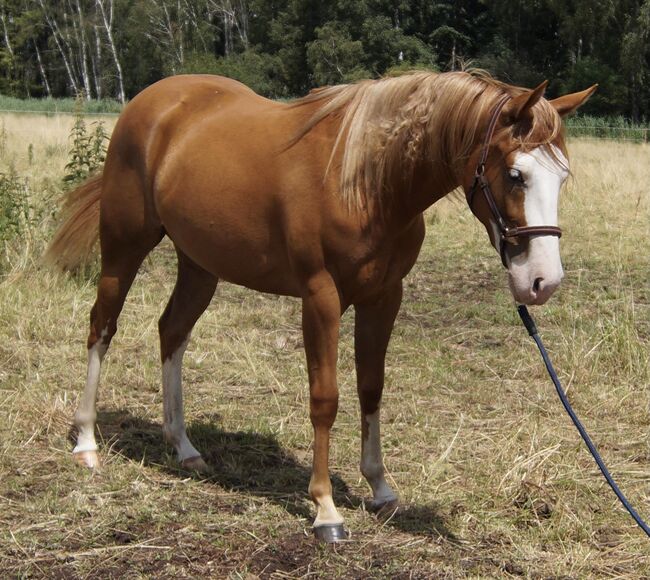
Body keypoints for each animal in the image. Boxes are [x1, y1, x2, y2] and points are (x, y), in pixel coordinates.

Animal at [44, 70, 592, 540]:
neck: (366, 182)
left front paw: (380, 489)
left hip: (200, 264)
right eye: (516, 174)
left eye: (563, 177)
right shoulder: (321, 298)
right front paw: (326, 509)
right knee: (102, 327)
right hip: (123, 246)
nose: (542, 281)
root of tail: (152, 102)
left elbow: (371, 389)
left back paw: (182, 446)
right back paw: (87, 442)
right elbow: (325, 399)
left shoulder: (383, 298)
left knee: (172, 332)